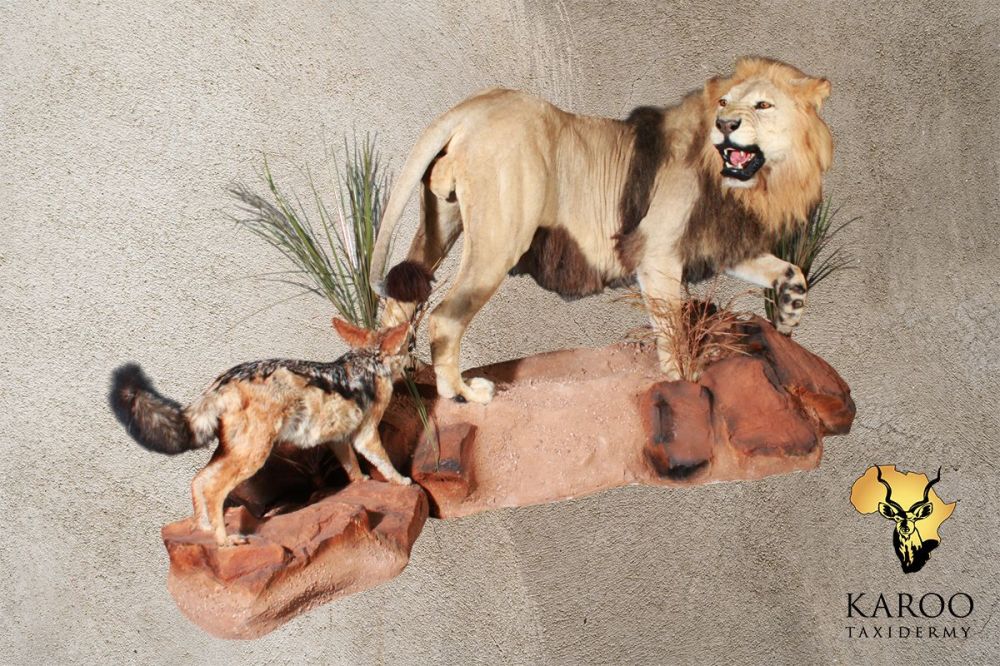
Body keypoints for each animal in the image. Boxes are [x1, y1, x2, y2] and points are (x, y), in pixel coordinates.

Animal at [369, 57, 833, 404]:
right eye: (723, 102)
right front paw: (684, 378)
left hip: (441, 223)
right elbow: (671, 328)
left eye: (763, 105)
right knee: (444, 317)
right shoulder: (658, 257)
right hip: (500, 239)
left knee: (398, 302)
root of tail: (474, 104)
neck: (753, 185)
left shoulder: (719, 245)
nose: (726, 124)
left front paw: (788, 316)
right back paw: (461, 393)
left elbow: (793, 271)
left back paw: (389, 384)